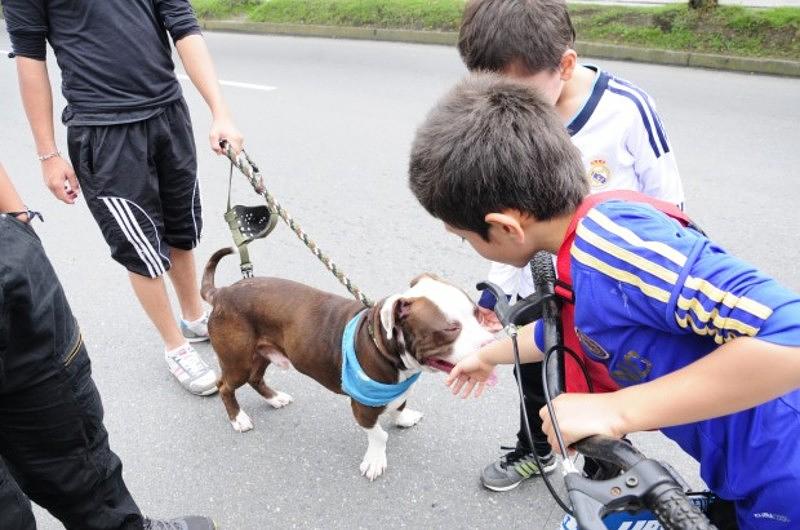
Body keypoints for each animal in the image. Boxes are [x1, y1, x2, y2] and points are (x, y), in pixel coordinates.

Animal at [202, 248, 500, 478]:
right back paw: (238, 418)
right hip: (238, 360)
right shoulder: (363, 407)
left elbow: (400, 404)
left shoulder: (400, 388)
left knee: (255, 377)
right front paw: (375, 461)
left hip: (262, 352)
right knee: (226, 386)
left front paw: (403, 417)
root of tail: (222, 293)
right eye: (451, 328)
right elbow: (379, 435)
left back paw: (274, 398)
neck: (384, 345)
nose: (490, 346)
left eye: (477, 313)